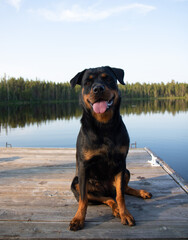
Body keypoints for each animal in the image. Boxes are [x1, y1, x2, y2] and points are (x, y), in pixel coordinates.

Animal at [69, 65, 151, 231]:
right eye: (88, 82)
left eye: (108, 79)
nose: (98, 89)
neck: (104, 125)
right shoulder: (84, 166)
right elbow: (83, 199)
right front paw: (78, 219)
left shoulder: (121, 163)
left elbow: (121, 195)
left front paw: (125, 214)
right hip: (76, 182)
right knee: (106, 198)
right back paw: (115, 209)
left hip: (126, 171)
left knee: (121, 190)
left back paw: (139, 194)